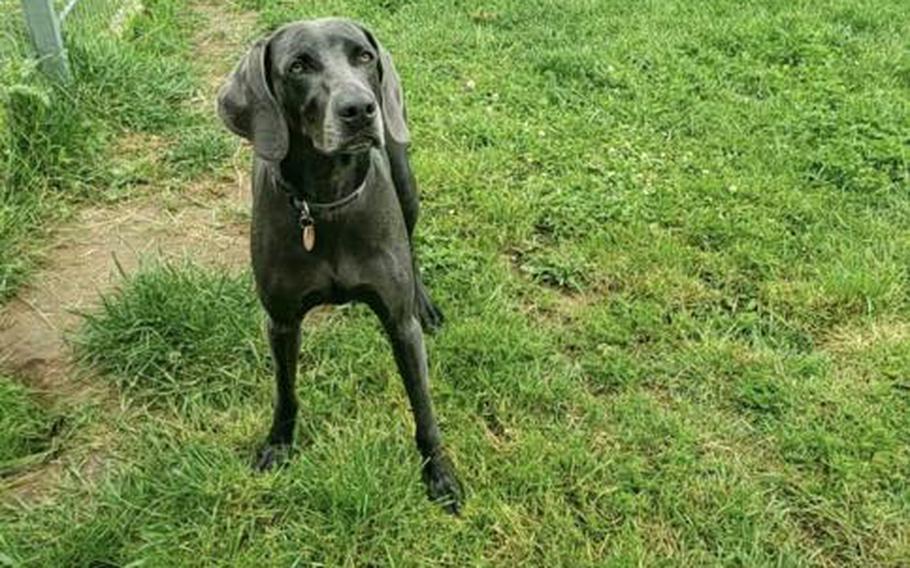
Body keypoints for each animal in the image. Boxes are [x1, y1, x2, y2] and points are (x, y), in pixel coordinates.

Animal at [219, 17, 464, 516]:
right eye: (298, 66)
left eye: (363, 57)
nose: (359, 109)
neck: (326, 202)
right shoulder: (281, 322)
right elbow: (286, 392)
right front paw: (278, 444)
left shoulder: (399, 325)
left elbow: (423, 406)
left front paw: (439, 473)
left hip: (406, 182)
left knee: (412, 244)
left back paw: (426, 302)